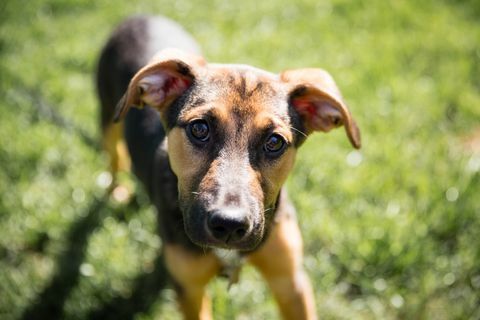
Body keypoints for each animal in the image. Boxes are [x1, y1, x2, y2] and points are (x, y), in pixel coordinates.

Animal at [97, 15, 360, 320]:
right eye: (199, 128)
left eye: (274, 142)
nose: (229, 225)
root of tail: (140, 17)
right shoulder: (190, 290)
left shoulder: (291, 282)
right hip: (108, 117)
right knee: (115, 157)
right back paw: (117, 190)